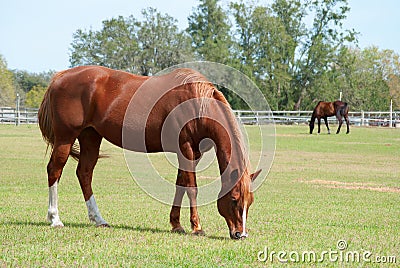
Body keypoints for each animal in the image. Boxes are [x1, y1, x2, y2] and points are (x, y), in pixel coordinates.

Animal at [39, 66, 260, 240]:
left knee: (84, 173)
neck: (196, 103)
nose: (241, 234)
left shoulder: (192, 153)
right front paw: (196, 227)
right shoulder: (186, 149)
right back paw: (55, 218)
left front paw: (176, 224)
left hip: (90, 137)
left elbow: (181, 185)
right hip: (65, 138)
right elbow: (192, 188)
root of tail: (60, 77)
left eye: (249, 202)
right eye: (234, 199)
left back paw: (98, 219)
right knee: (54, 170)